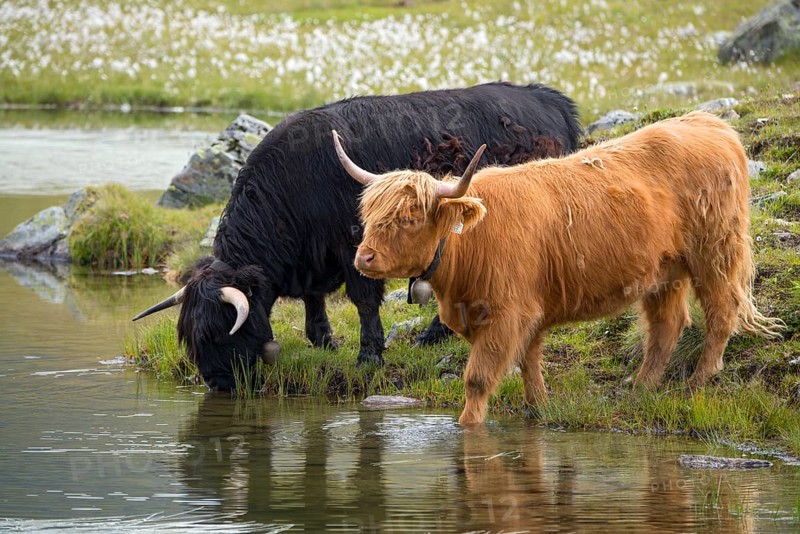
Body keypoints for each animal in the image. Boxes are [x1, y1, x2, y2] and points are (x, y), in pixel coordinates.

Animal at [132, 82, 582, 391]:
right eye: (189, 338)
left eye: (215, 332)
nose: (216, 383)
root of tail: (550, 99)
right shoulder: (311, 259)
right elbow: (314, 300)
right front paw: (323, 340)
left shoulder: (355, 246)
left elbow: (364, 299)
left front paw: (368, 355)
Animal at [332, 111, 784, 425]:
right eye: (370, 215)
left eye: (409, 218)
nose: (363, 257)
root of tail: (710, 124)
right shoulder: (528, 312)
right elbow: (530, 365)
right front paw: (538, 409)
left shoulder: (507, 314)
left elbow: (478, 379)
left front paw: (468, 427)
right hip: (665, 272)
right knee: (666, 327)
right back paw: (641, 387)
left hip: (714, 253)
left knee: (721, 312)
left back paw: (697, 382)